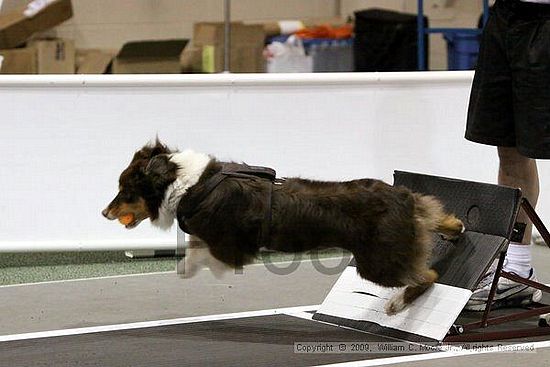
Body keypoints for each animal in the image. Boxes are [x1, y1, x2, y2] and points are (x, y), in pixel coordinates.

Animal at [103, 141, 466, 316]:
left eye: (125, 191)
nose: (104, 212)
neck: (188, 183)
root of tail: (399, 196)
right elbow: (194, 246)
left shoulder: (230, 247)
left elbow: (204, 254)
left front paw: (188, 270)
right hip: (405, 222)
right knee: (431, 210)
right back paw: (455, 226)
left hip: (377, 263)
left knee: (428, 276)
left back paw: (396, 304)